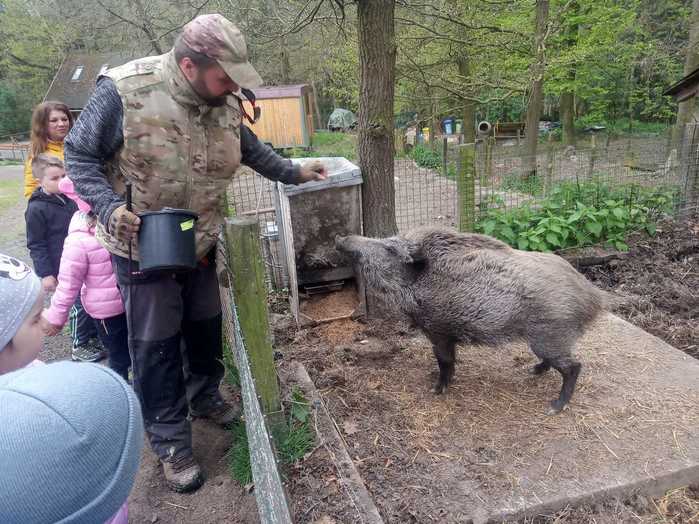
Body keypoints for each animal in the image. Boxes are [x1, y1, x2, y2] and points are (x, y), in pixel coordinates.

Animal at [335, 227, 608, 414]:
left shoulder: (438, 330)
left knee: (574, 366)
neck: (422, 286)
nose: (341, 239)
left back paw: (554, 407)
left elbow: (445, 361)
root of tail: (593, 297)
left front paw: (436, 390)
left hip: (549, 335)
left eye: (390, 250)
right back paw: (532, 371)